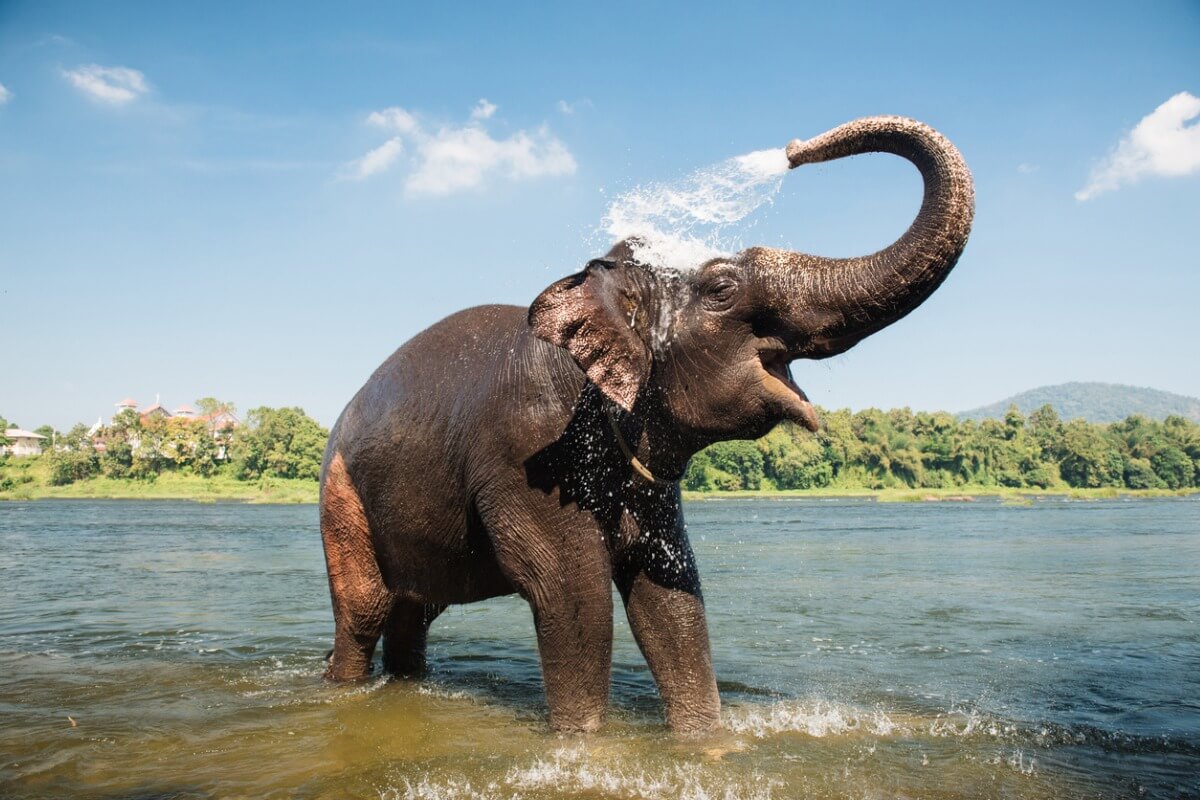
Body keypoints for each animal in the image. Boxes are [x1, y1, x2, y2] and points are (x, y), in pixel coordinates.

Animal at [319, 115, 974, 733]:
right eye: (721, 287)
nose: (793, 149)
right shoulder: (528, 451)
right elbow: (573, 595)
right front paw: (582, 744)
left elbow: (669, 596)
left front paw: (705, 741)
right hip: (340, 494)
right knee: (365, 611)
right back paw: (342, 687)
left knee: (414, 612)